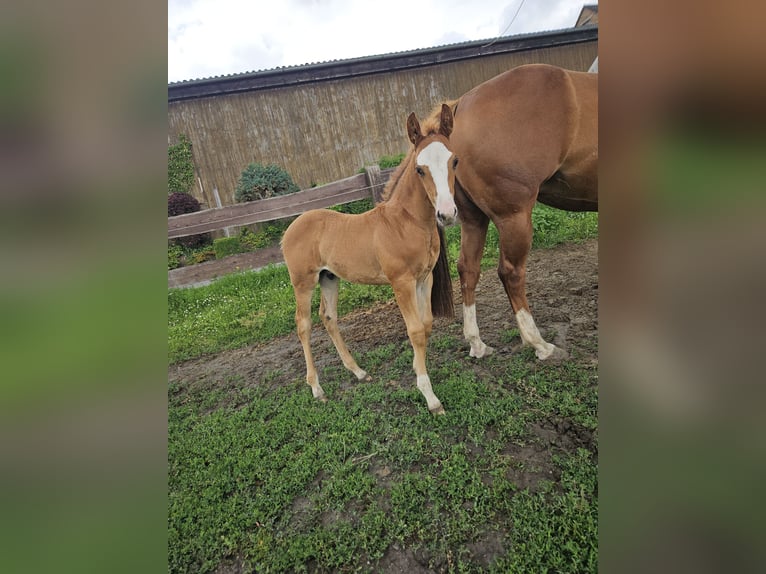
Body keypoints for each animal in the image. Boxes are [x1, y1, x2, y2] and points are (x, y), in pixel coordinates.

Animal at [281, 104, 458, 415]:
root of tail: (289, 230)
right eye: (420, 169)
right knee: (303, 324)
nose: (446, 214)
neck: (406, 222)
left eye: (455, 161)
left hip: (329, 277)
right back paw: (317, 388)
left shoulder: (425, 278)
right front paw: (430, 397)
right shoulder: (401, 283)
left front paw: (418, 370)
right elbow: (415, 330)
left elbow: (426, 326)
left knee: (328, 317)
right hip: (303, 283)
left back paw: (359, 372)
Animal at [438, 63, 598, 361]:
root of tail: (460, 106)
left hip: (473, 220)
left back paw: (477, 343)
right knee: (510, 273)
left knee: (468, 269)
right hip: (514, 218)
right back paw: (540, 345)